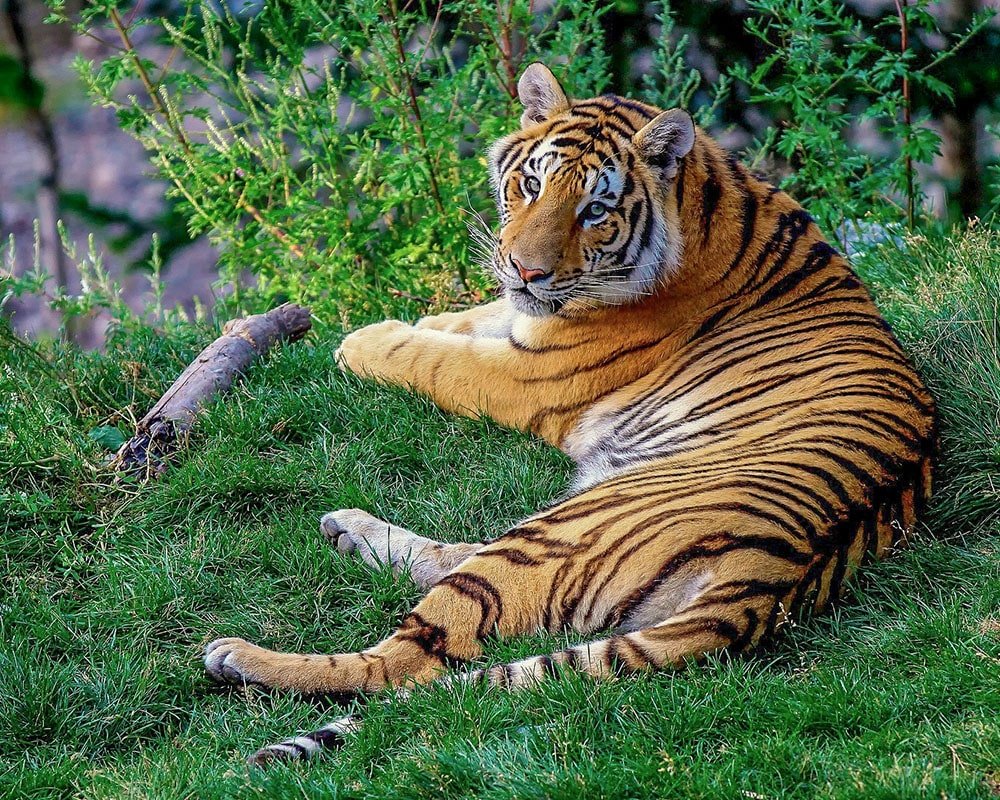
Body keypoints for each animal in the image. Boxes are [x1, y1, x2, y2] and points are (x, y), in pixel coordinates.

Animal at [204, 62, 937, 765]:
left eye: (595, 210)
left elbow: (435, 358)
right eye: (530, 185)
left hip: (557, 532)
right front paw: (420, 319)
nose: (526, 270)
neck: (706, 201)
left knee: (406, 662)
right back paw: (348, 531)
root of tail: (774, 576)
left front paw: (363, 340)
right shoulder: (523, 322)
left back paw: (241, 655)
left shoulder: (527, 375)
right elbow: (468, 318)